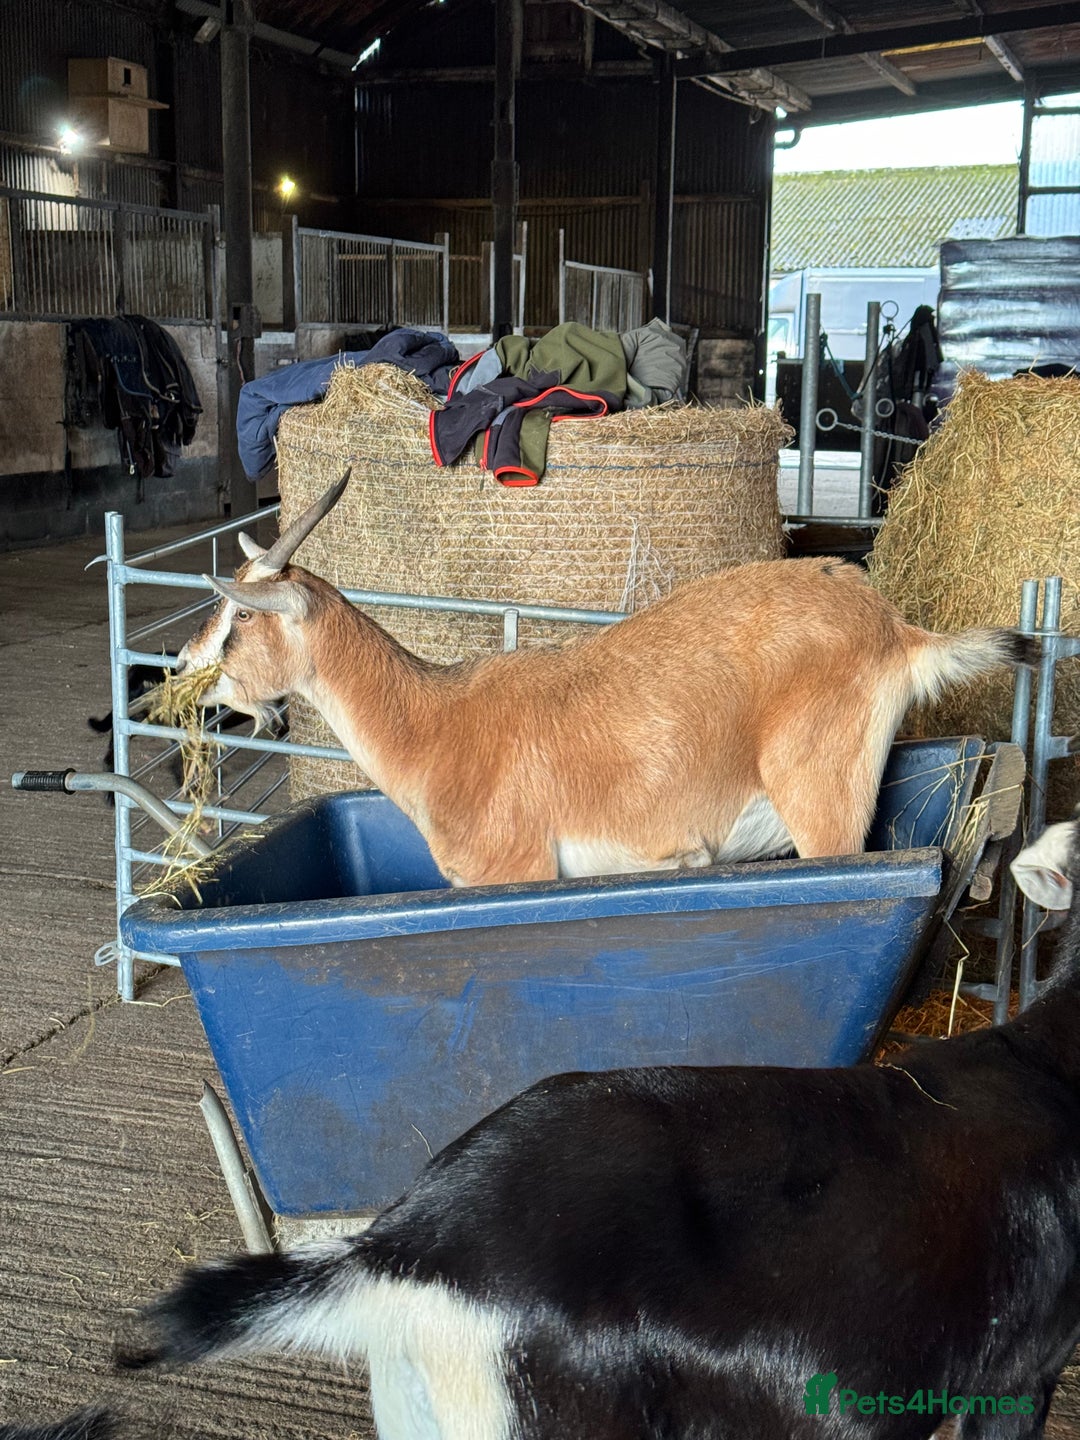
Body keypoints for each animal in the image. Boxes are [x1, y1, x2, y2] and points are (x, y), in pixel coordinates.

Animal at [176, 472, 1035, 886]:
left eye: (240, 615)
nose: (180, 667)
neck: (434, 722)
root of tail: (896, 631)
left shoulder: (511, 872)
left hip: (825, 805)